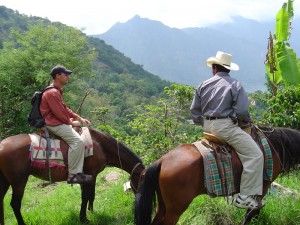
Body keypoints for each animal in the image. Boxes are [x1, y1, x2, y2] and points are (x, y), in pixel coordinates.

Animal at [0, 127, 145, 224]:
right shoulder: (89, 174)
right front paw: (84, 218)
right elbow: (85, 197)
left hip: (5, 181)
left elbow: (91, 195)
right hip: (19, 181)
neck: (100, 145)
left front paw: (91, 211)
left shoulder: (91, 176)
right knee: (15, 204)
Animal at [135, 126, 300, 225]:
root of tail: (162, 160)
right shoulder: (263, 186)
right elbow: (252, 212)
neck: (275, 145)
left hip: (164, 205)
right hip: (175, 209)